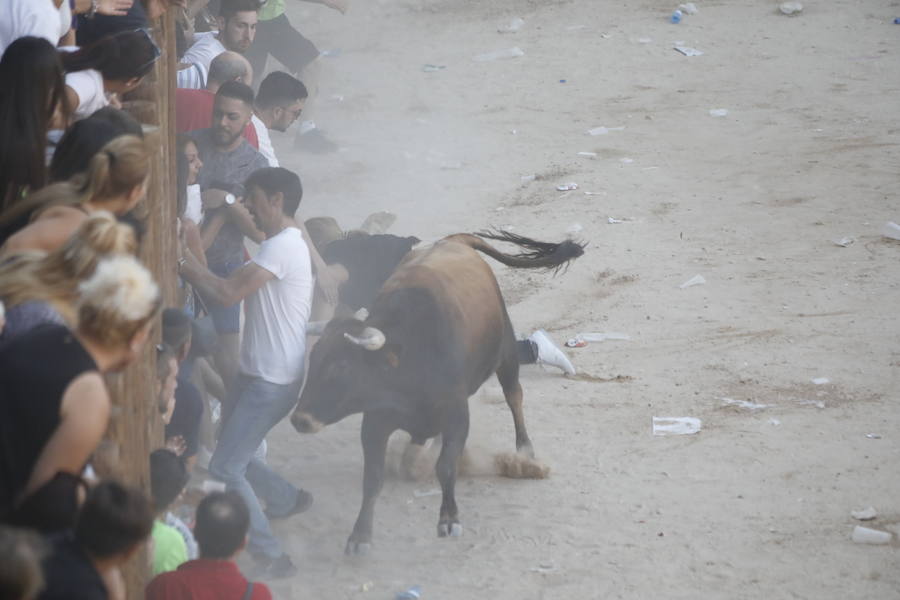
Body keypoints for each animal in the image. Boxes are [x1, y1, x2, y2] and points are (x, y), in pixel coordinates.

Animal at [288, 230, 584, 552]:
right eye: (313, 361)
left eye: (340, 367)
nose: (300, 419)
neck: (410, 356)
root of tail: (455, 240)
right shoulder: (376, 422)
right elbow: (373, 477)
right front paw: (359, 536)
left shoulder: (457, 415)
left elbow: (446, 466)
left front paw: (448, 519)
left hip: (505, 353)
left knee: (514, 396)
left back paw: (525, 451)